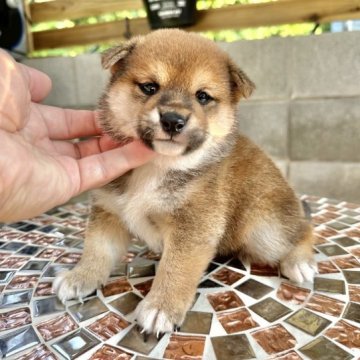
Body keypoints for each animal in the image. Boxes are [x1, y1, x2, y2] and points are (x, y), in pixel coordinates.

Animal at [53, 29, 316, 336]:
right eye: (149, 87)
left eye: (202, 96)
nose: (172, 120)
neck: (156, 166)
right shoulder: (109, 212)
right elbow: (97, 250)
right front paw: (80, 277)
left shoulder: (192, 227)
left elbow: (176, 269)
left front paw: (160, 307)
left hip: (263, 229)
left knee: (304, 231)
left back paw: (300, 263)